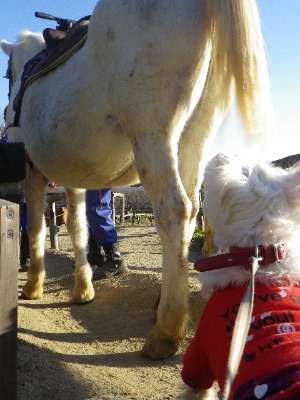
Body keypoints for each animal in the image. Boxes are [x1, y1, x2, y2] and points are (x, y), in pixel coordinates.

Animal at [0, 0, 274, 360]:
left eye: (7, 75)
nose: (6, 114)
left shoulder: (33, 172)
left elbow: (35, 228)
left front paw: (33, 285)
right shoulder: (72, 176)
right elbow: (77, 228)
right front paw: (82, 289)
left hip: (153, 134)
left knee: (174, 210)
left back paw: (166, 331)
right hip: (194, 137)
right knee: (191, 210)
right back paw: (166, 301)